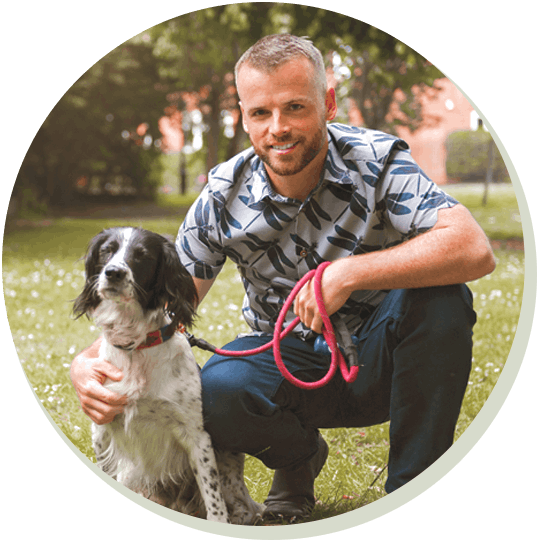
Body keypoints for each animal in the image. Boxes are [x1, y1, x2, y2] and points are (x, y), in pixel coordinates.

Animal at [73, 226, 262, 520]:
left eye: (142, 256)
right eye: (107, 250)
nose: (114, 272)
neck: (136, 347)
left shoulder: (197, 436)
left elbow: (213, 499)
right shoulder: (102, 427)